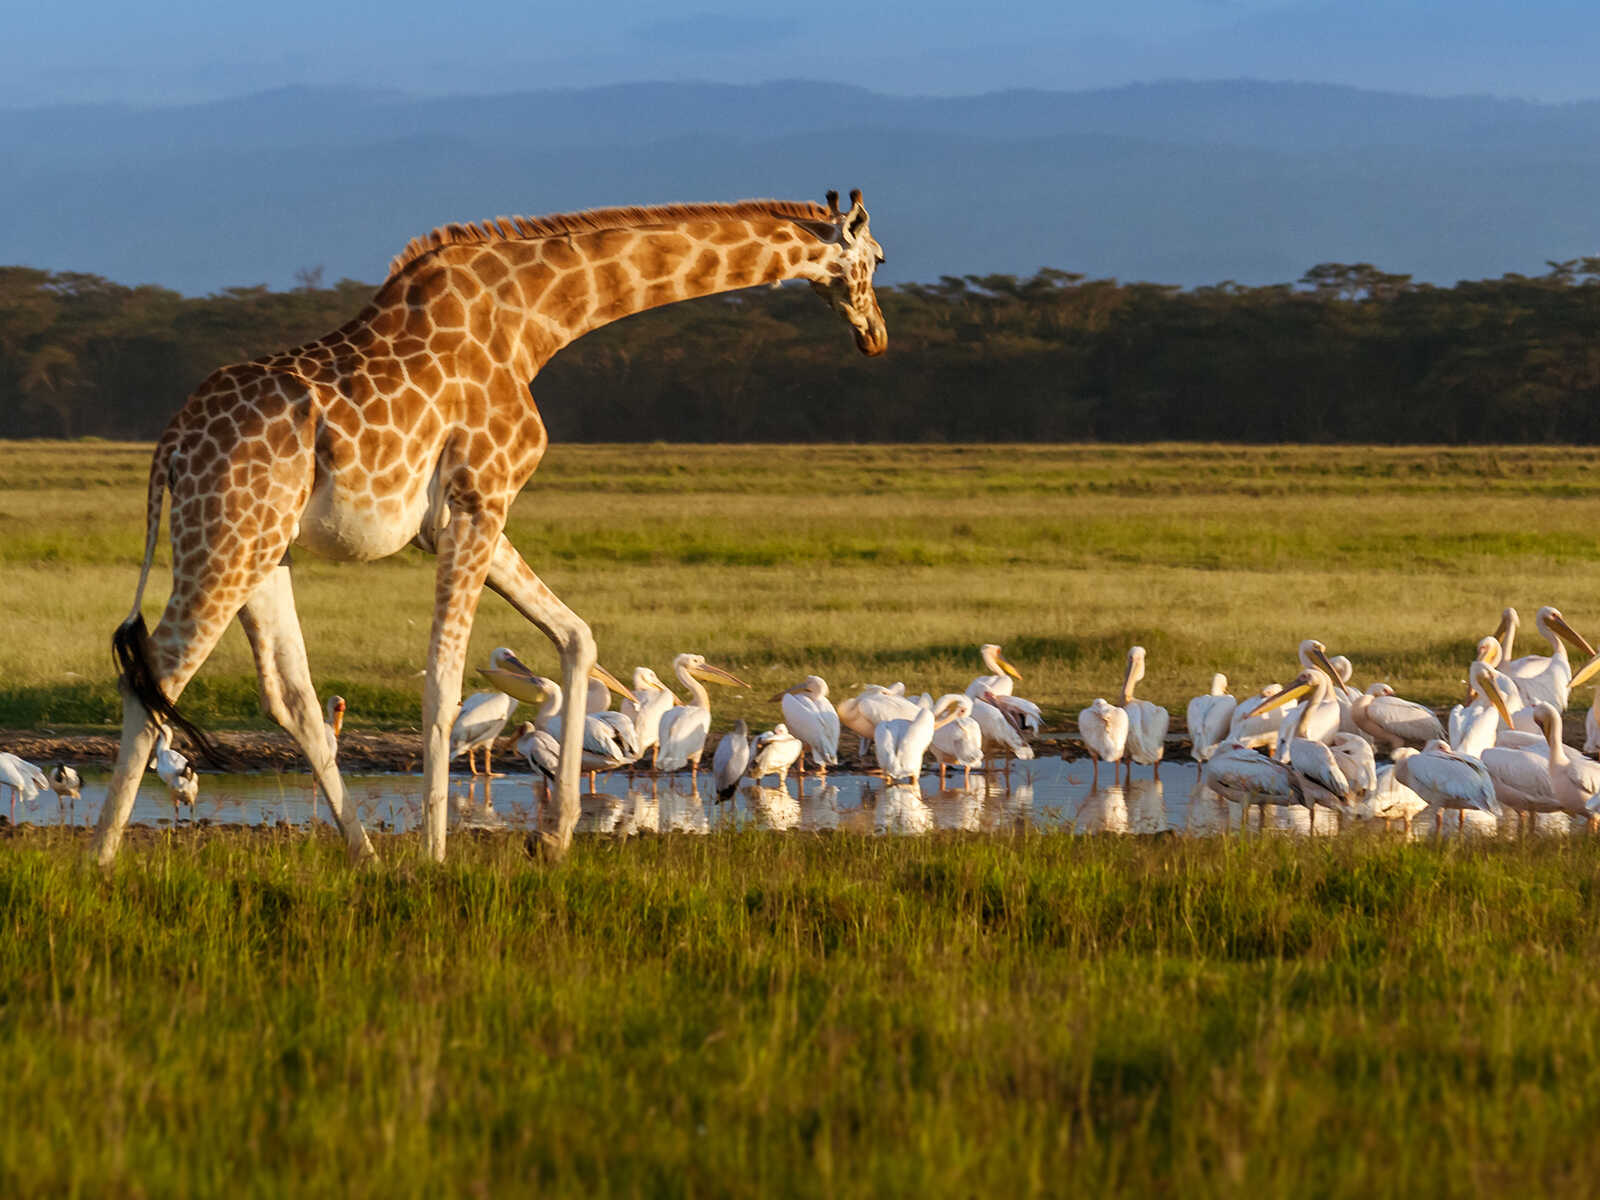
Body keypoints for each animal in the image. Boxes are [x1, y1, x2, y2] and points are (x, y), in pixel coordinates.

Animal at [90, 188, 889, 864]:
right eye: (879, 259)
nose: (876, 336)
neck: (538, 319)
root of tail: (170, 447)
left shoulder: (464, 517)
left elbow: (576, 635)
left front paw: (555, 838)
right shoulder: (482, 498)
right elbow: (444, 684)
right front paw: (437, 855)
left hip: (264, 552)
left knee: (290, 700)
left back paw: (365, 855)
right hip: (224, 543)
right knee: (154, 677)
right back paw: (101, 859)